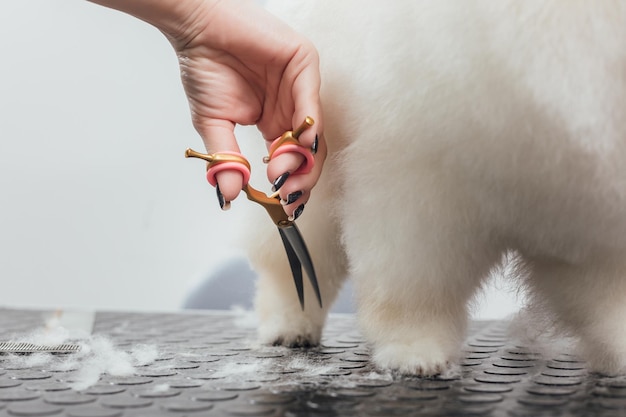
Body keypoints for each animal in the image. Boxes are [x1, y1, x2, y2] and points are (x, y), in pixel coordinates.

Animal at [246, 0, 624, 376]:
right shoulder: (422, 186)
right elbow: (415, 284)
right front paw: (413, 349)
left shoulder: (579, 214)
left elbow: (603, 295)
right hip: (316, 187)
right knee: (290, 263)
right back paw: (289, 325)